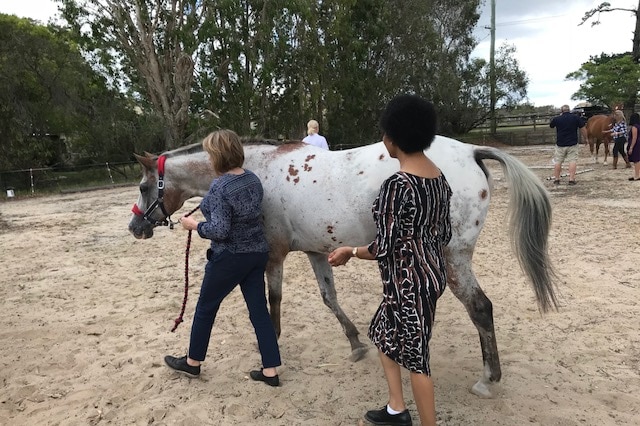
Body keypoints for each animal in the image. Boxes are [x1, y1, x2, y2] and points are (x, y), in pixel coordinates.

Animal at [127, 136, 556, 400]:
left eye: (145, 187)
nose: (135, 228)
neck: (254, 171)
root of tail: (470, 152)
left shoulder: (274, 256)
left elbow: (272, 301)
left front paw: (272, 348)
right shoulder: (317, 252)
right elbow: (329, 298)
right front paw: (355, 344)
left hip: (454, 258)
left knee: (481, 308)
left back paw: (487, 379)